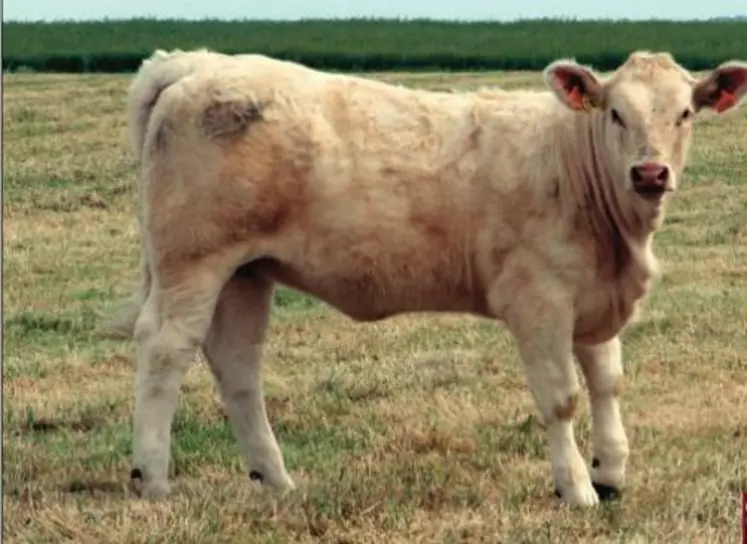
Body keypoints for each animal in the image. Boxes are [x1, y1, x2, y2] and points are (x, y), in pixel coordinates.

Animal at [109, 50, 747, 506]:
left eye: (684, 113)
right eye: (616, 113)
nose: (650, 171)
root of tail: (194, 61)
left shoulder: (594, 297)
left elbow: (607, 383)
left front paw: (611, 473)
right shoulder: (538, 301)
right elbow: (563, 398)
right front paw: (577, 490)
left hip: (245, 272)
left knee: (237, 364)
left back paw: (275, 479)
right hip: (193, 260)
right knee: (165, 351)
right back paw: (153, 479)